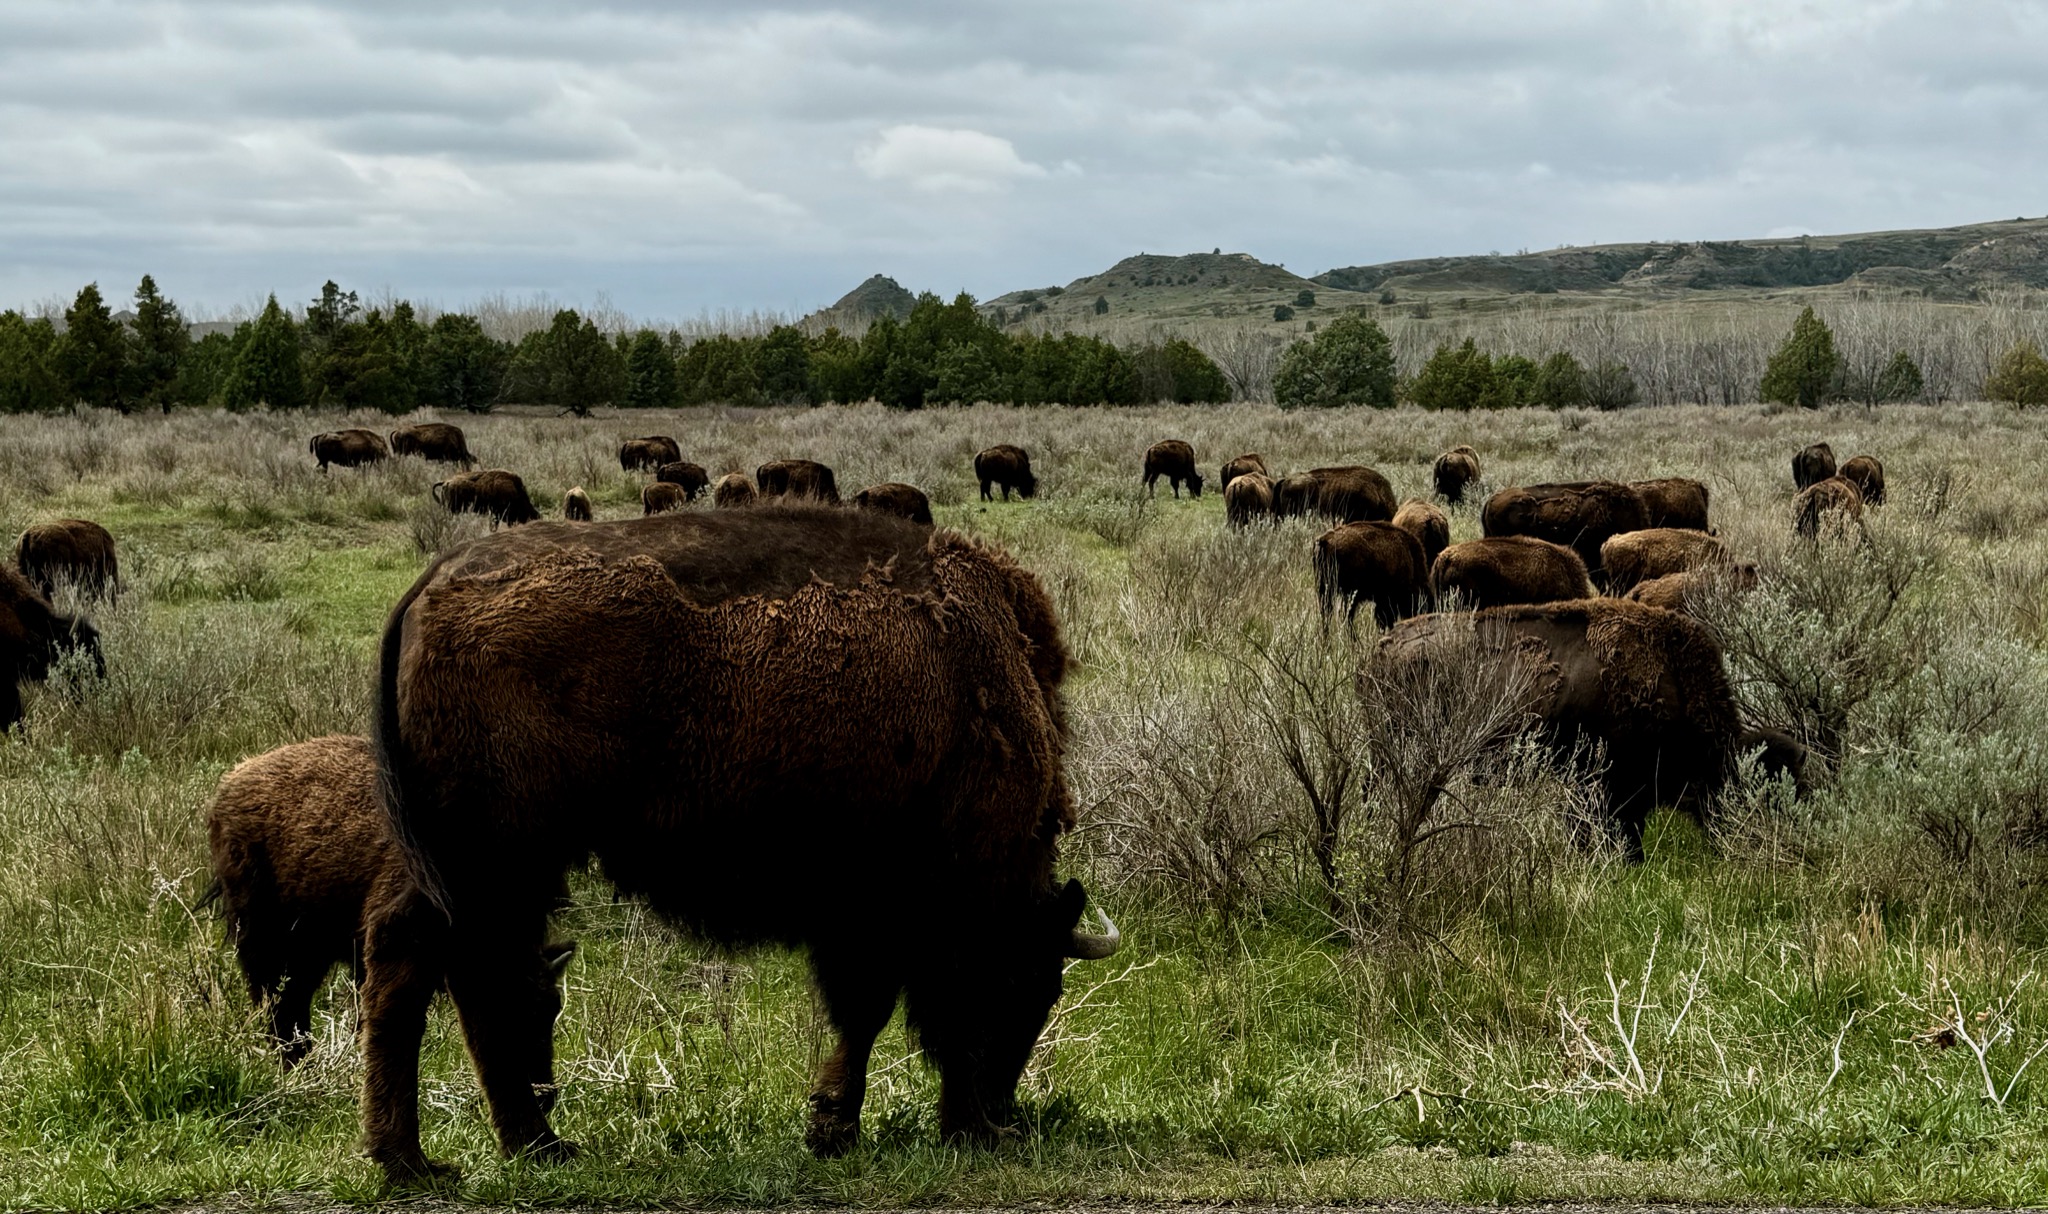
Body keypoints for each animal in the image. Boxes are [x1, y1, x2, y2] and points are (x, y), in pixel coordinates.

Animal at [207, 735, 575, 1071]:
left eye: (551, 1008)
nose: (542, 1091)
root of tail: (231, 783)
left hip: (310, 946)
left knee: (292, 1000)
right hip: (261, 933)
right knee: (272, 998)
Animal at [360, 507, 1119, 1180]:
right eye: (1029, 982)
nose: (1002, 1120)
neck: (984, 684)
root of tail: (433, 582)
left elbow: (864, 1013)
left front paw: (834, 1128)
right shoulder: (906, 905)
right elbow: (890, 1008)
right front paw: (864, 1126)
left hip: (453, 860)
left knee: (419, 960)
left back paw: (418, 1160)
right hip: (500, 856)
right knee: (470, 974)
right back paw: (524, 1146)